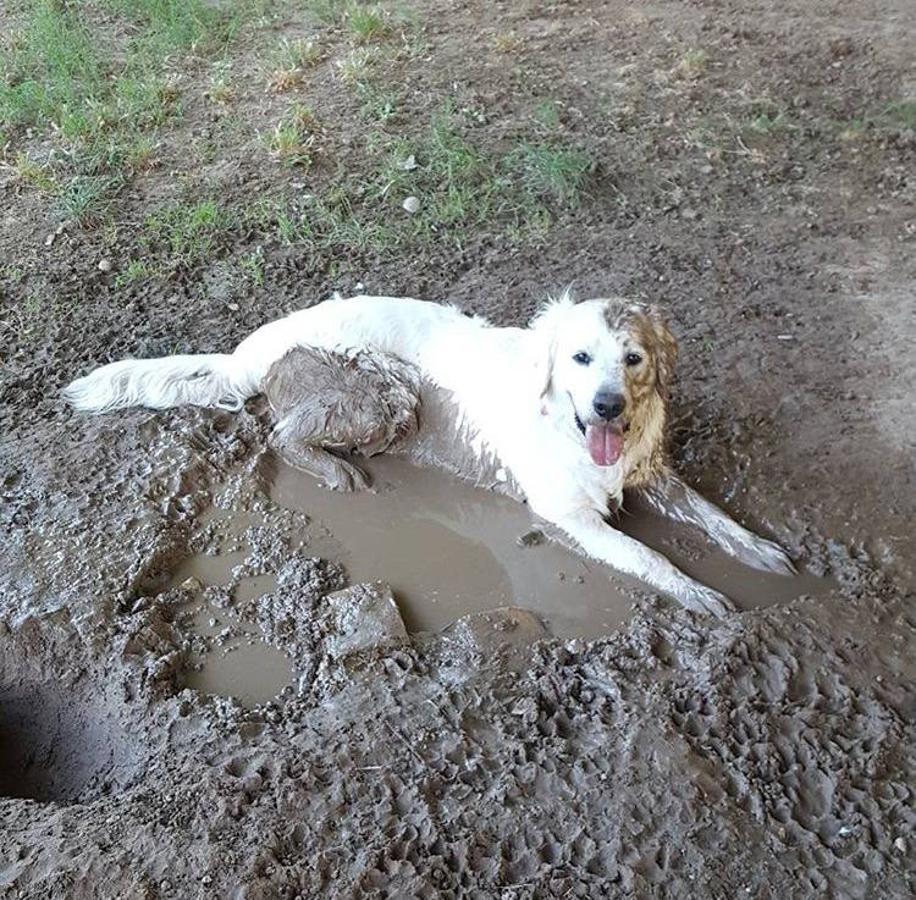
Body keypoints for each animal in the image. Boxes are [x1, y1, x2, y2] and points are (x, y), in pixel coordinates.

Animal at [64, 292, 796, 616]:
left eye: (633, 358)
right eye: (580, 358)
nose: (609, 406)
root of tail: (251, 345)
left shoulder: (651, 473)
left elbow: (713, 515)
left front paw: (761, 551)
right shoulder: (569, 516)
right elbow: (650, 557)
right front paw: (700, 594)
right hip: (389, 391)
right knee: (278, 433)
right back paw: (335, 469)